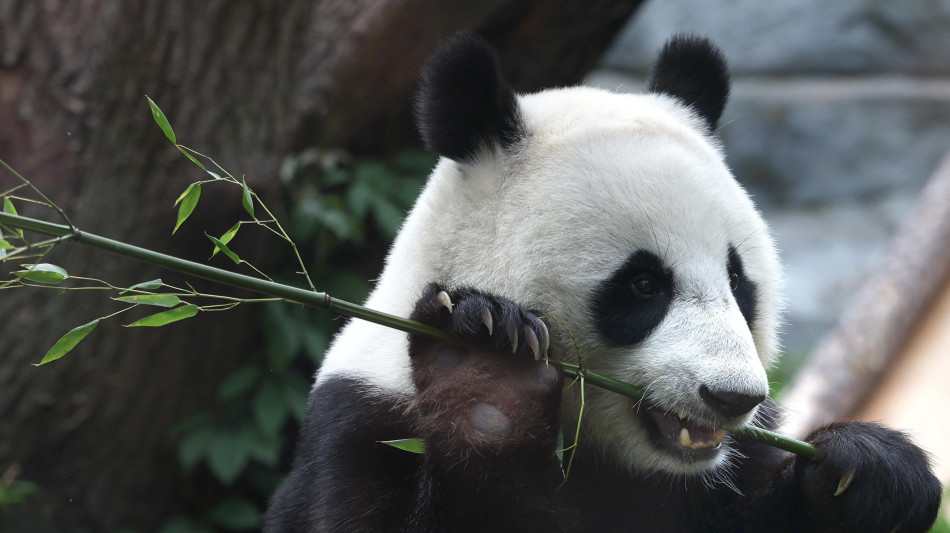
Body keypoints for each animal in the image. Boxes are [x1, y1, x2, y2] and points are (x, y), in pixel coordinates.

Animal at [265, 34, 942, 532]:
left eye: (738, 280)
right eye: (643, 285)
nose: (733, 397)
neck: (607, 455)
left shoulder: (730, 465)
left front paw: (871, 475)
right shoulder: (362, 422)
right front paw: (488, 376)